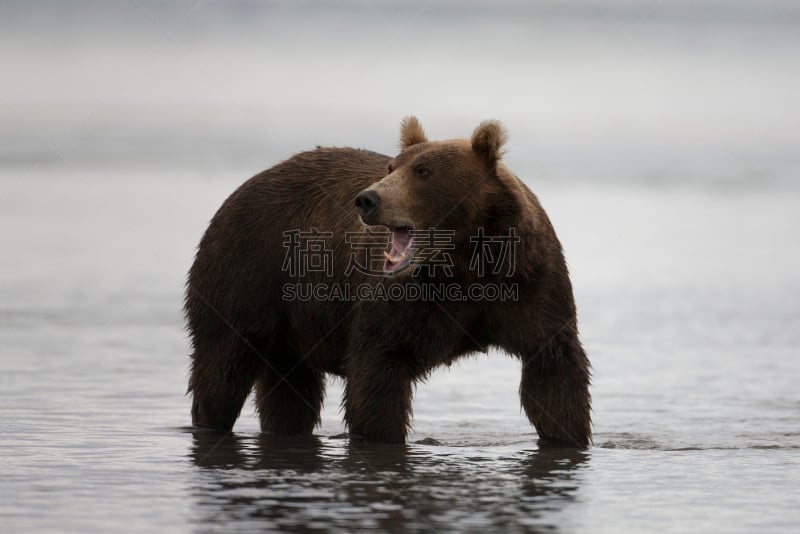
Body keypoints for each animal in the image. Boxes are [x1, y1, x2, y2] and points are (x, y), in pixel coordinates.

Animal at [184, 116, 592, 448]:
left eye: (423, 171)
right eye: (392, 165)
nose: (367, 199)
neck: (463, 264)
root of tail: (246, 185)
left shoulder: (529, 283)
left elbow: (554, 373)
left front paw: (569, 435)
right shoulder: (398, 302)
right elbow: (377, 377)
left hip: (289, 322)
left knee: (289, 391)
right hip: (247, 273)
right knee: (222, 368)